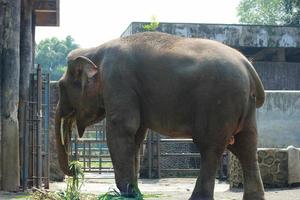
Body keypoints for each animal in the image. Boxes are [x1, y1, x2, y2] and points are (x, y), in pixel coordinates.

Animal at [55, 32, 264, 199]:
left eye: (61, 87)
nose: (74, 170)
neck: (95, 51)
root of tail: (248, 67)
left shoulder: (118, 81)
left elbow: (123, 128)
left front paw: (126, 193)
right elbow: (137, 135)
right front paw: (134, 192)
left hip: (218, 103)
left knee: (210, 148)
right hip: (243, 108)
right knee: (246, 146)